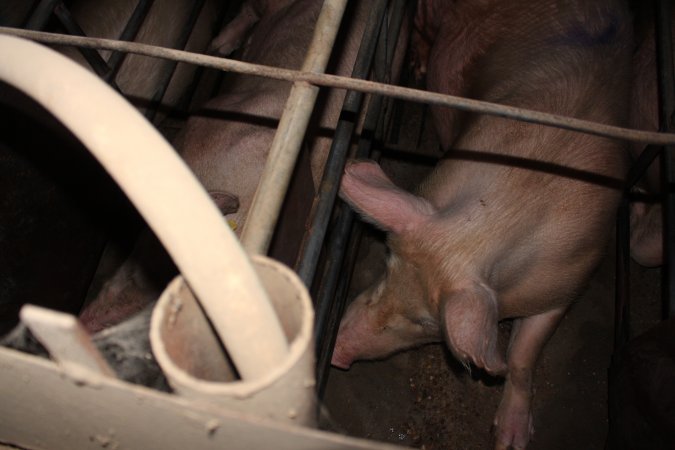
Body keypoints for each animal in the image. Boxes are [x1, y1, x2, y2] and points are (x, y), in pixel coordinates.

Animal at [332, 0, 632, 450]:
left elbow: (524, 356)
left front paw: (510, 440)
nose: (336, 353)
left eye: (427, 323)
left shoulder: (571, 276)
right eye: (386, 267)